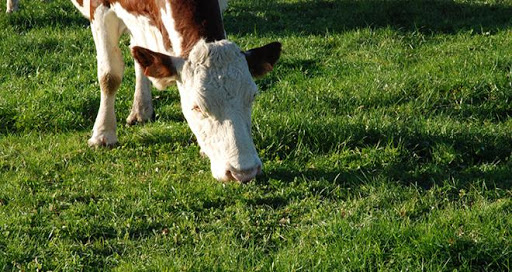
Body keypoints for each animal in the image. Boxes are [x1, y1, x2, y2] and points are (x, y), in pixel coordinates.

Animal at [70, 0, 282, 183]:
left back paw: (141, 110)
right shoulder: (100, 9)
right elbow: (109, 76)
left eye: (252, 97)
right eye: (196, 107)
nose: (244, 172)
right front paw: (103, 134)